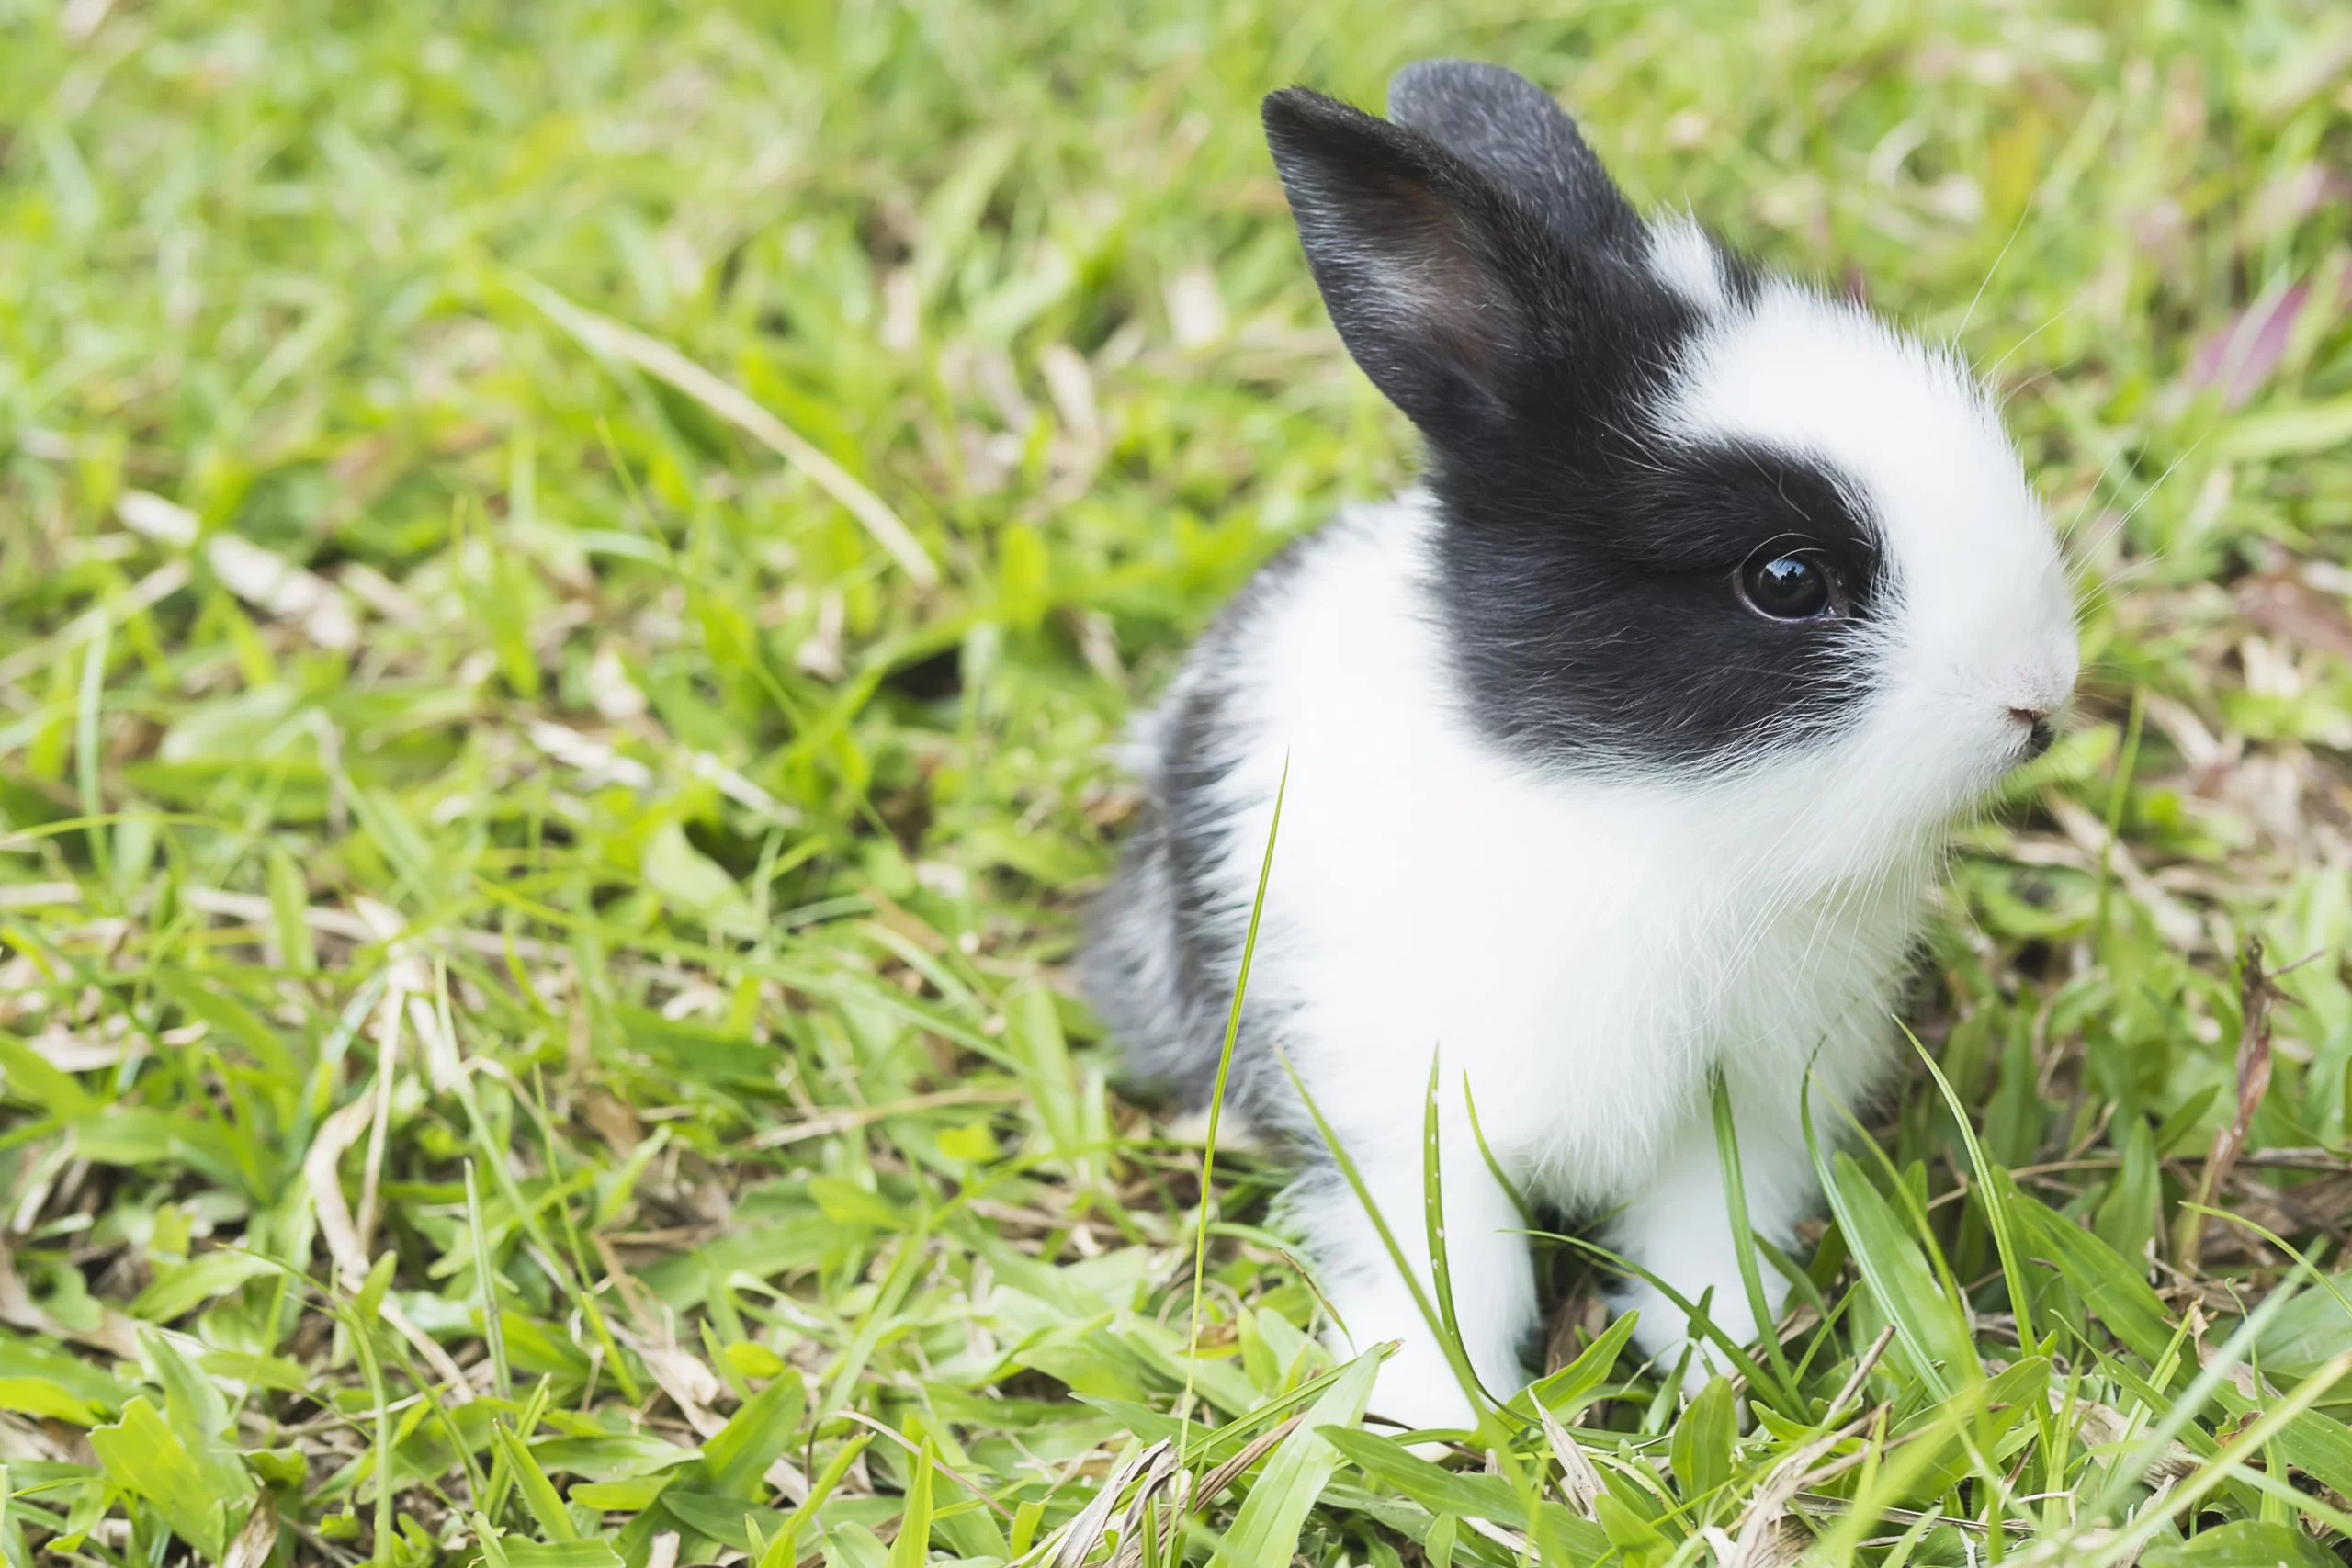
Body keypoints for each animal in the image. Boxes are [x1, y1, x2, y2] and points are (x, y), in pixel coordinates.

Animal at [1081, 61, 2079, 1438]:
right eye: (1787, 580)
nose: (2041, 695)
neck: (1642, 818)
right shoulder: (1406, 1118)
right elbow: (1445, 1268)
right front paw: (1438, 1420)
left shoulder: (1739, 1114)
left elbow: (1705, 1244)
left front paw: (1727, 1374)